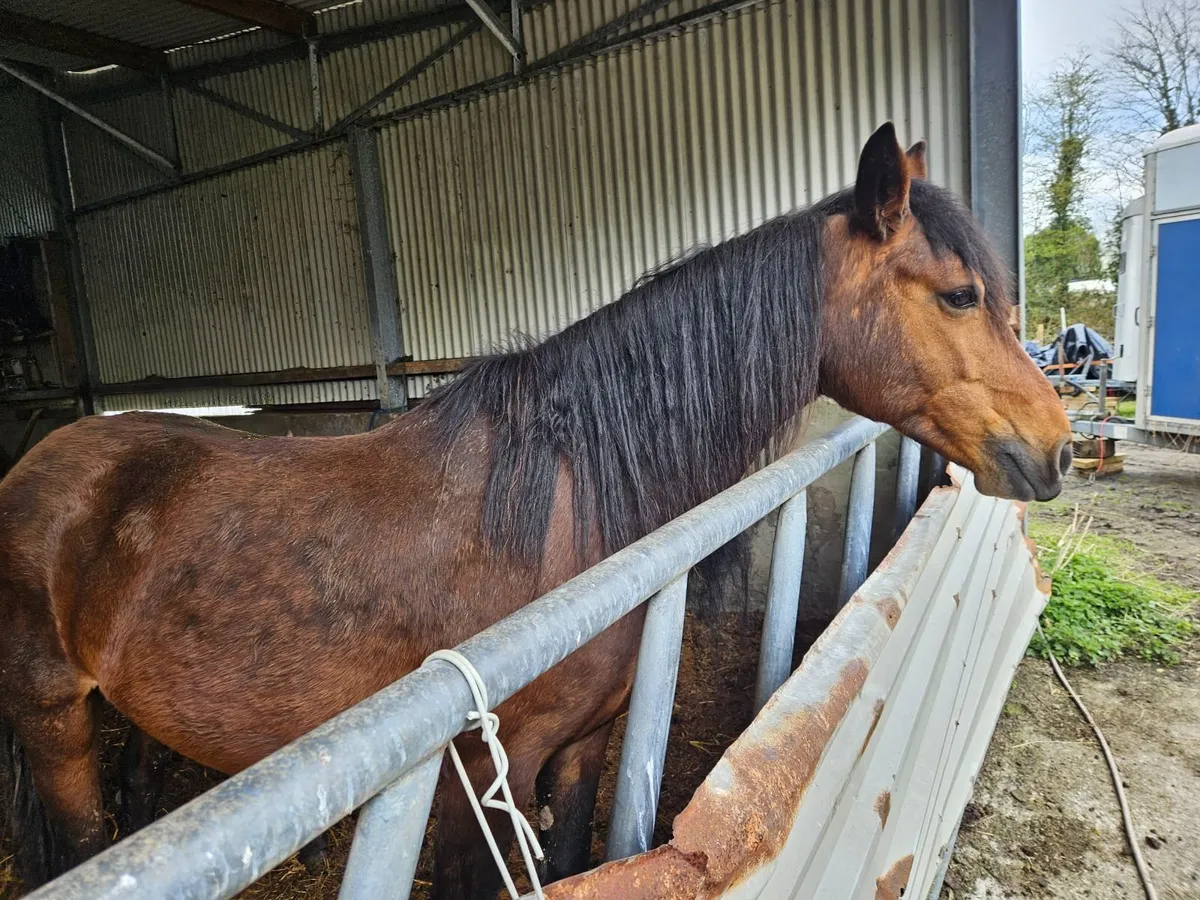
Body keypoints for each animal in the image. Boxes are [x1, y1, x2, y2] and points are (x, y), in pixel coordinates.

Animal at [0, 122, 1070, 898]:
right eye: (961, 294)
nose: (1057, 448)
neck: (571, 510)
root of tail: (40, 461)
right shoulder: (480, 774)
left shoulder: (585, 747)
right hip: (54, 725)